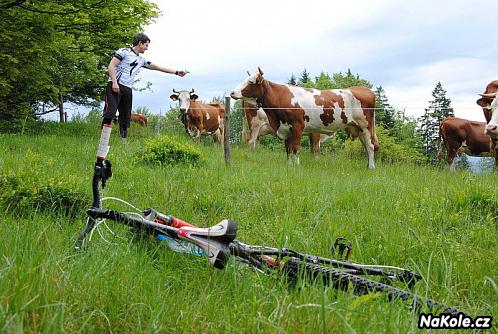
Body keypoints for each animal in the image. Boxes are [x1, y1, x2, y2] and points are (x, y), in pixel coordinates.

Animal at [230, 67, 378, 167]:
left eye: (251, 81)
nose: (232, 92)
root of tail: (366, 90)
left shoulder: (298, 127)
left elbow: (298, 149)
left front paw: (297, 166)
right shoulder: (286, 129)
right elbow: (288, 150)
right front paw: (289, 166)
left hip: (365, 125)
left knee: (370, 145)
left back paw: (371, 167)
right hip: (358, 127)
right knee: (367, 145)